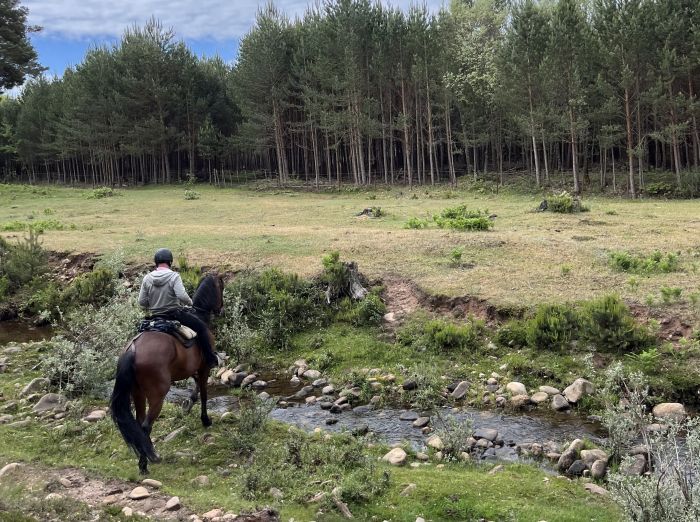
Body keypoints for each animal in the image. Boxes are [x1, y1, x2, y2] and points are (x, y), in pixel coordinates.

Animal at [110, 274, 224, 474]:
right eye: (221, 288)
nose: (221, 309)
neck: (199, 315)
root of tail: (132, 349)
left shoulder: (190, 369)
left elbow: (195, 385)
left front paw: (188, 403)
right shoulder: (204, 368)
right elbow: (204, 393)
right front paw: (205, 420)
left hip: (137, 393)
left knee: (139, 423)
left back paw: (145, 461)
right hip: (157, 395)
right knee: (146, 426)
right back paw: (147, 463)